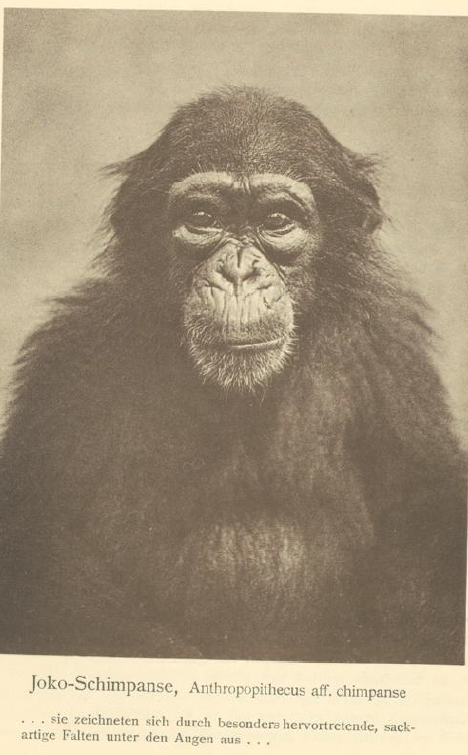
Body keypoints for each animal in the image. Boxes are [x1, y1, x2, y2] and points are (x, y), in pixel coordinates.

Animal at [0, 86, 465, 663]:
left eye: (277, 220)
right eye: (202, 217)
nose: (239, 269)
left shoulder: (393, 359)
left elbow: (426, 539)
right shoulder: (67, 370)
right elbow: (43, 558)